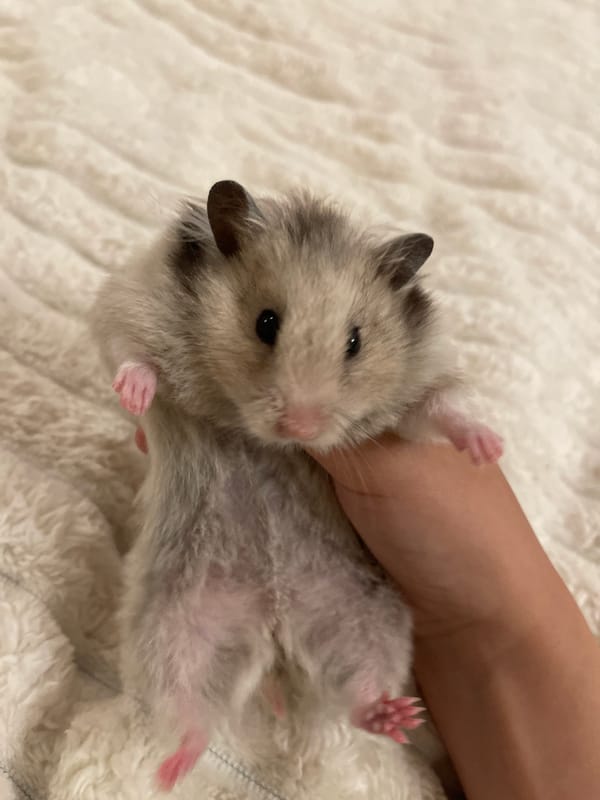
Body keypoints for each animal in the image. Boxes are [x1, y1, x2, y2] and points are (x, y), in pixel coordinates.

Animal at [91, 180, 502, 790]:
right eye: (266, 323)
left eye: (355, 341)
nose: (302, 429)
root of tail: (275, 623)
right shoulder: (129, 305)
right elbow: (130, 354)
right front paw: (136, 397)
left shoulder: (416, 391)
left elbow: (441, 411)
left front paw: (488, 448)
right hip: (171, 620)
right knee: (189, 709)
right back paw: (171, 771)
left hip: (364, 615)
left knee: (358, 688)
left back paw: (394, 716)